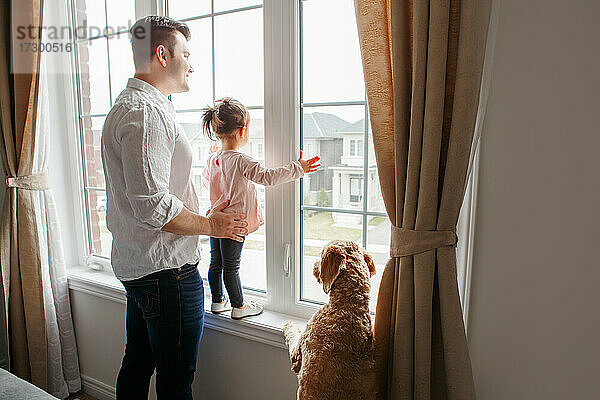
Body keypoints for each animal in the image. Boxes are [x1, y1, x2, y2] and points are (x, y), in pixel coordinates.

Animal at [284, 241, 378, 400]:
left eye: (321, 254)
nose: (315, 265)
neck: (349, 304)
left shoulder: (298, 353)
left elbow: (292, 334)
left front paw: (290, 324)